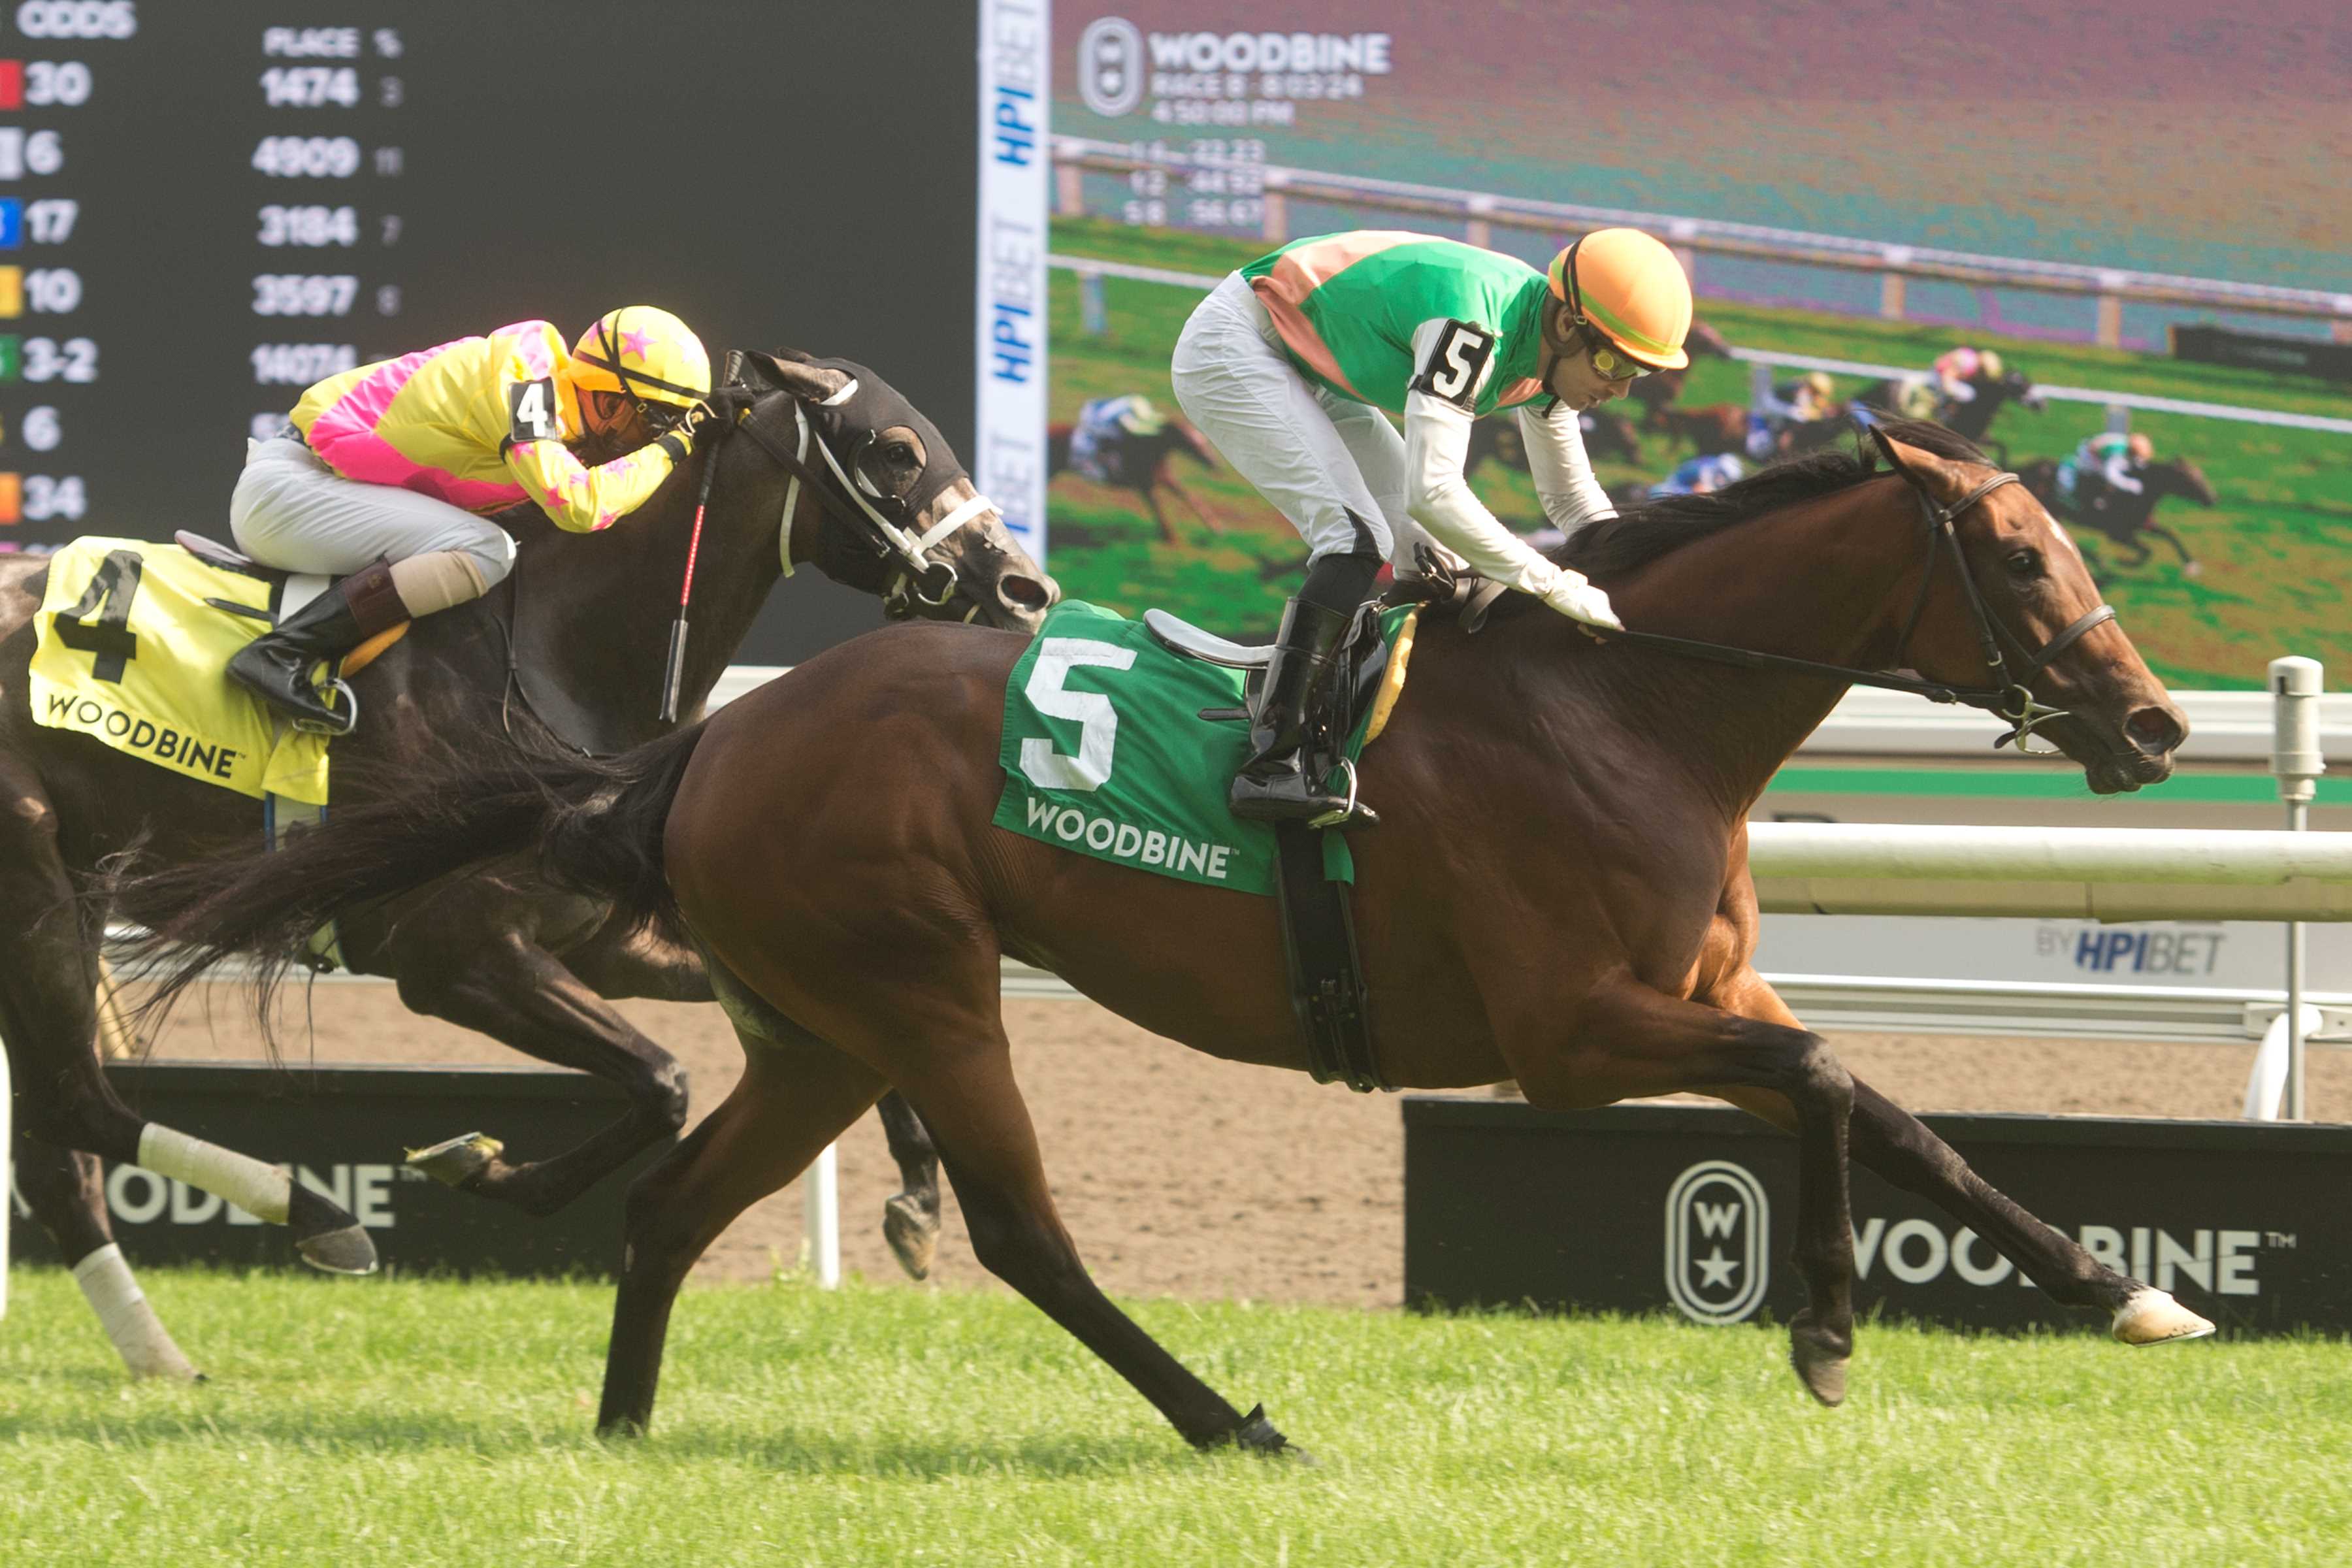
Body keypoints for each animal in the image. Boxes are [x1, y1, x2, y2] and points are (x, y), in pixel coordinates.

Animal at [0, 350, 1049, 1382]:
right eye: (896, 449)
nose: (1024, 590)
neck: (551, 663)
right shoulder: (453, 954)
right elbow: (663, 1083)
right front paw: (479, 1166)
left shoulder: (609, 940)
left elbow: (820, 1040)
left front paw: (917, 1207)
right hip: (37, 887)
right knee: (75, 1104)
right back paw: (321, 1220)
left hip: (78, 888)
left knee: (55, 1148)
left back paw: (161, 1354)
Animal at [114, 421, 2201, 1457]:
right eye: (2026, 558)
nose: (2160, 721)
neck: (1622, 708)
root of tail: (718, 732)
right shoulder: (1574, 1030)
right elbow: (1834, 1075)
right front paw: (1832, 1336)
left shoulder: (1703, 991)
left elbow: (1909, 1116)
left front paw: (2128, 1290)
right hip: (924, 992)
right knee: (1023, 1231)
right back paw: (1225, 1421)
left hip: (821, 1026)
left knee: (679, 1199)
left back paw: (622, 1428)